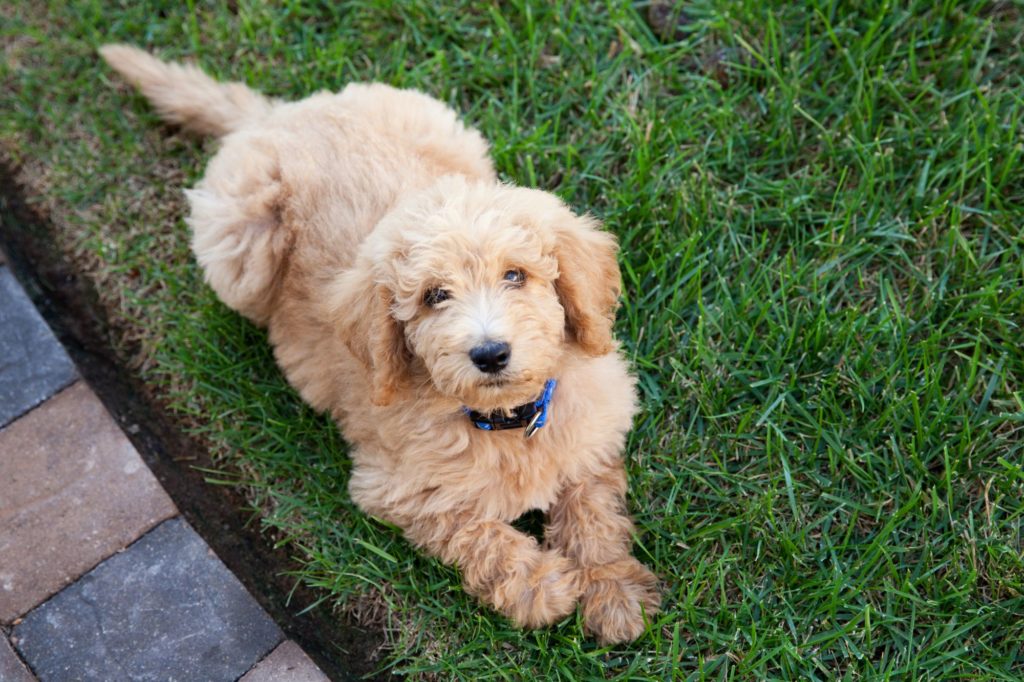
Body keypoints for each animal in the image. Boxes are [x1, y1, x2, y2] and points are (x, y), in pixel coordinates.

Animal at [99, 43, 659, 643]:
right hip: (237, 247)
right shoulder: (397, 487)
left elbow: (593, 510)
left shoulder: (594, 435)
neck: (507, 421)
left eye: (516, 276)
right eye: (435, 296)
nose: (490, 354)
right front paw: (538, 585)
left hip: (449, 135)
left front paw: (614, 591)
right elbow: (474, 530)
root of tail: (275, 116)